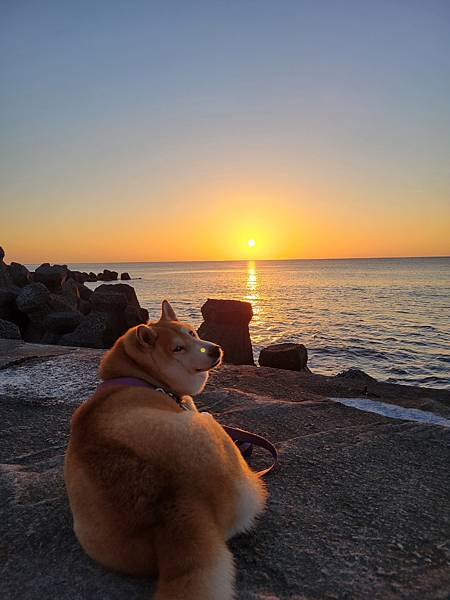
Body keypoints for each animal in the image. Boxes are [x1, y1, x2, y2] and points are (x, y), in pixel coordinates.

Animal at [63, 300, 268, 600]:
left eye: (193, 333)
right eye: (177, 348)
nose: (215, 349)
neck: (139, 376)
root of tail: (177, 505)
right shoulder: (190, 407)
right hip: (209, 426)